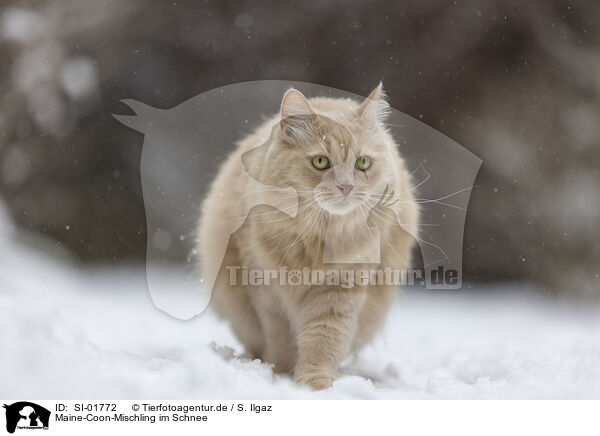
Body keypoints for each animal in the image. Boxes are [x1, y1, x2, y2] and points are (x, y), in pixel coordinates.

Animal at [197, 83, 418, 390]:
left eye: (362, 163)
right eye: (320, 161)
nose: (346, 187)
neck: (317, 239)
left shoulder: (341, 288)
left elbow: (323, 340)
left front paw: (316, 381)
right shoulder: (268, 291)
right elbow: (283, 341)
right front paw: (282, 376)